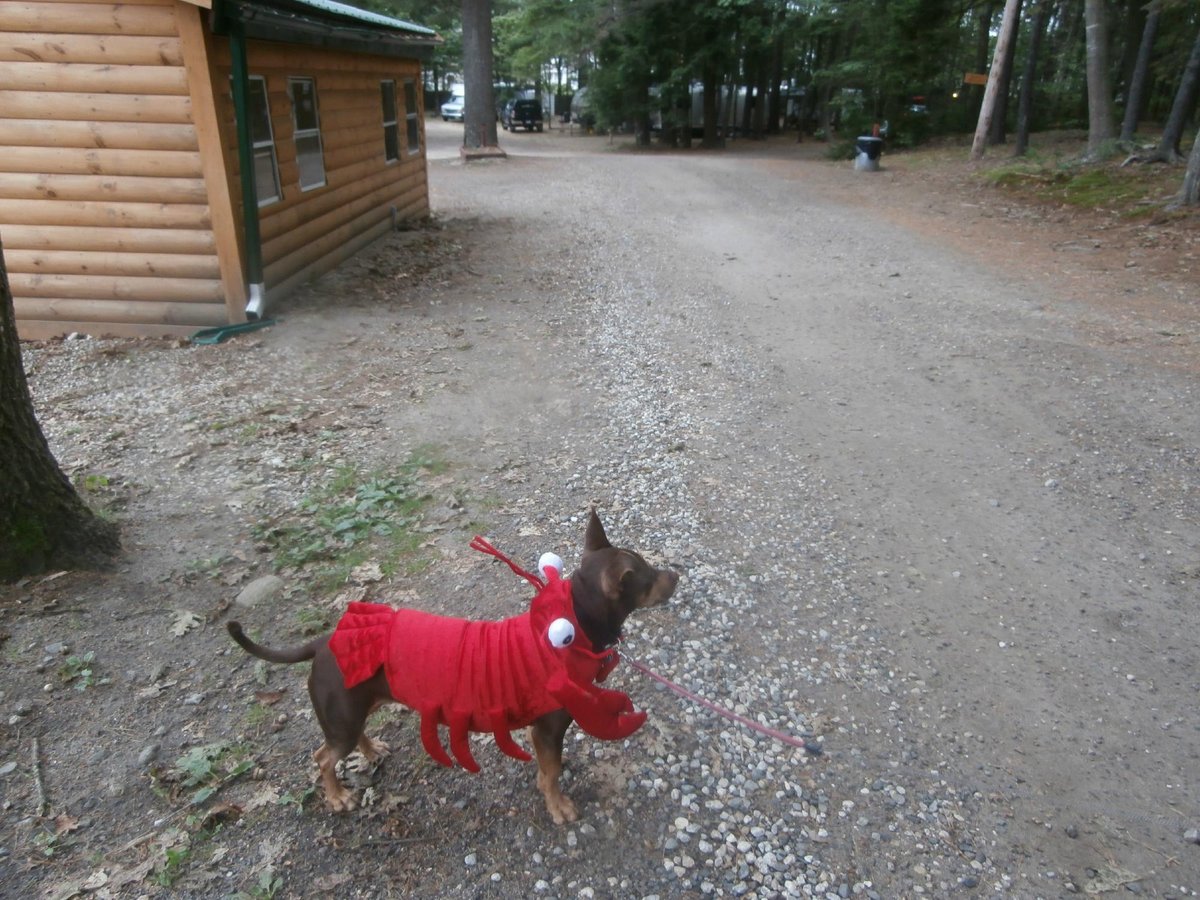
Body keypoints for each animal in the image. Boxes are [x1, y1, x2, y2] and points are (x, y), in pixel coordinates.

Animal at [225, 511, 676, 820]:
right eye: (649, 577)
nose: (676, 574)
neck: (571, 627)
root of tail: (323, 642)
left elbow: (547, 769)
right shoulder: (548, 728)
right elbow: (551, 773)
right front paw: (558, 806)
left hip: (356, 707)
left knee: (352, 738)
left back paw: (371, 751)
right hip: (341, 716)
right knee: (323, 757)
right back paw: (337, 796)